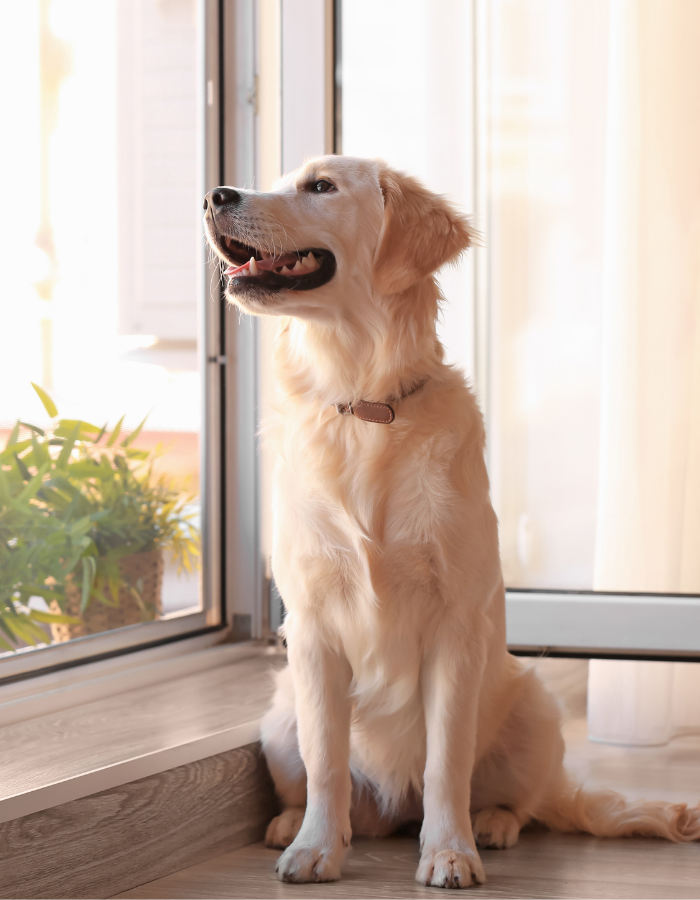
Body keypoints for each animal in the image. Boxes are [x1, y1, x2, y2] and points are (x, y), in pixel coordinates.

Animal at [205, 158, 700, 888]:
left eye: (320, 186)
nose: (216, 195)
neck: (365, 407)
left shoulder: (455, 627)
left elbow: (447, 763)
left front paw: (449, 851)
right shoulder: (313, 629)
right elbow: (327, 762)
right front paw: (316, 847)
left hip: (535, 707)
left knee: (524, 802)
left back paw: (491, 823)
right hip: (277, 716)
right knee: (337, 787)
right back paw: (291, 823)